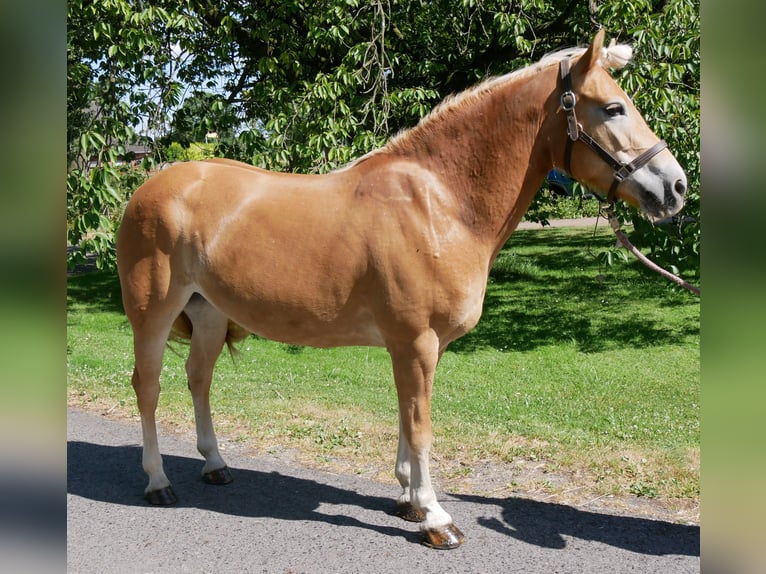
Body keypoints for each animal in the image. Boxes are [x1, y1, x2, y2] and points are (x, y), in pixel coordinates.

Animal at [116, 30, 687, 549]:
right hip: (152, 314)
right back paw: (157, 482)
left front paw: (408, 499)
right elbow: (421, 425)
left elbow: (405, 416)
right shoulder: (416, 341)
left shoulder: (414, 346)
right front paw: (435, 517)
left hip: (209, 314)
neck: (439, 201)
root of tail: (151, 185)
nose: (675, 187)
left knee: (198, 380)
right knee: (148, 386)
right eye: (613, 108)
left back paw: (214, 464)